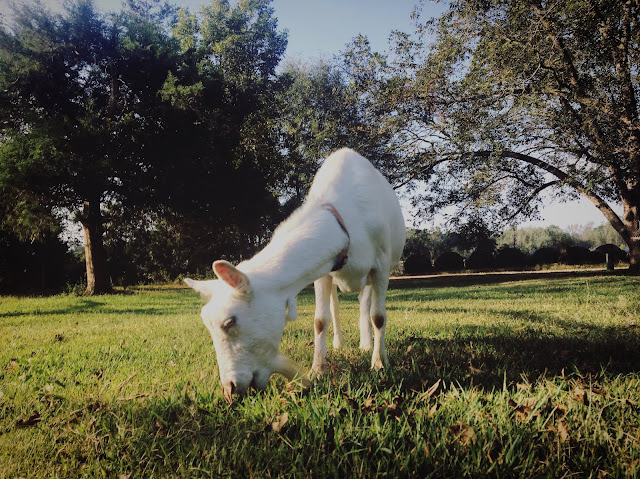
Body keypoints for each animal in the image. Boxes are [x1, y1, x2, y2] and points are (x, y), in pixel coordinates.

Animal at [185, 148, 406, 403]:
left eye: (230, 322)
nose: (230, 389)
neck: (347, 221)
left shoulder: (381, 265)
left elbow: (378, 316)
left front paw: (379, 364)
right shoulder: (324, 270)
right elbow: (320, 320)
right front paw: (317, 370)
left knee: (365, 303)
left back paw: (367, 345)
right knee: (336, 307)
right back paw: (340, 343)